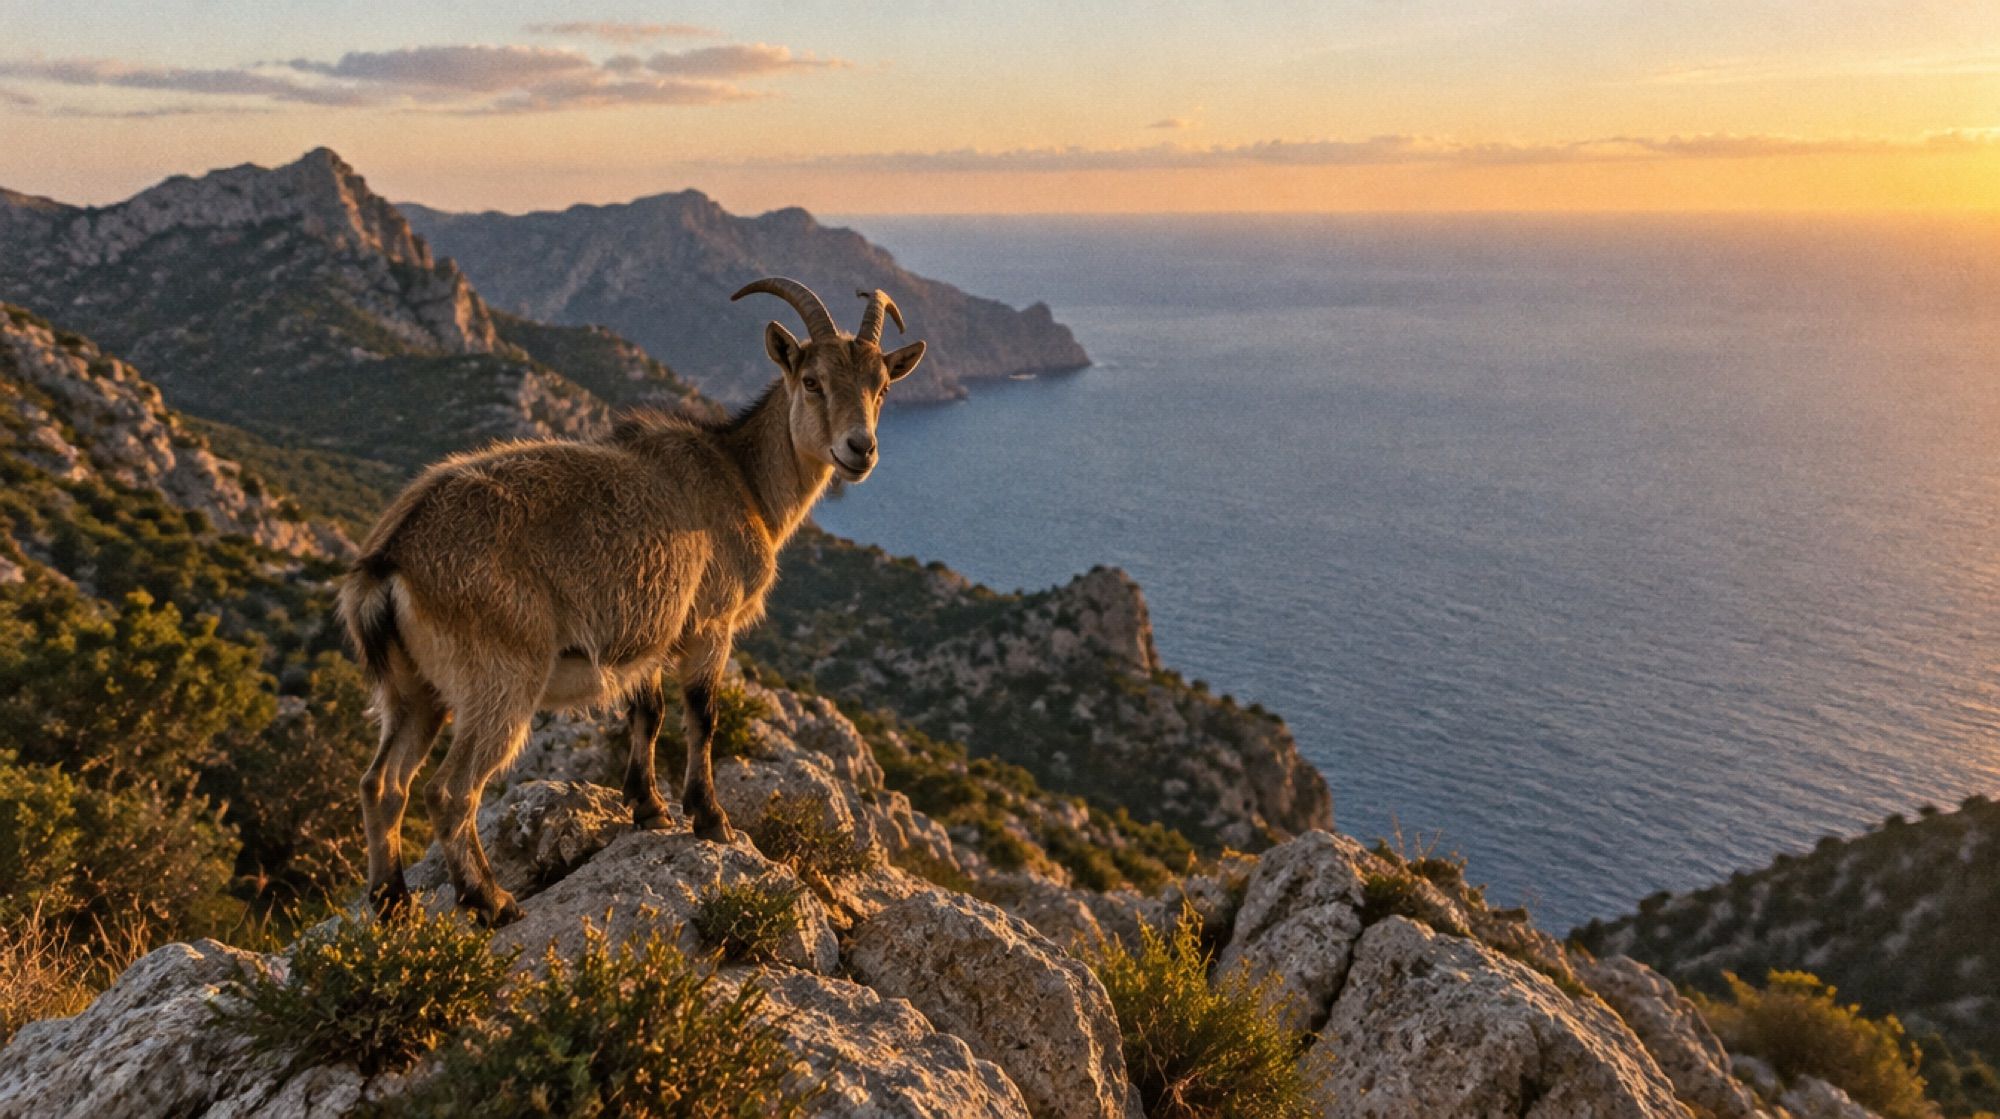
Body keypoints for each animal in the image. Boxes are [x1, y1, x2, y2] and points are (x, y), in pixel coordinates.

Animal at [337, 278, 926, 924]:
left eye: (882, 386)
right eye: (813, 380)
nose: (859, 449)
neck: (742, 480)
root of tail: (391, 558)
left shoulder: (650, 635)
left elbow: (647, 713)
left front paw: (648, 807)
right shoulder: (710, 623)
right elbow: (702, 715)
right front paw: (710, 818)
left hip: (413, 690)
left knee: (382, 784)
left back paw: (392, 900)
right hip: (501, 677)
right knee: (450, 789)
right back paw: (491, 899)